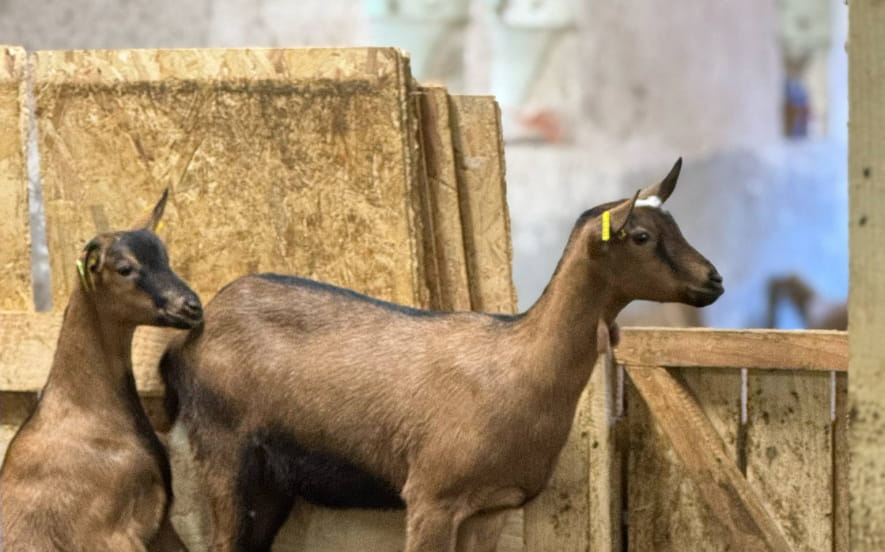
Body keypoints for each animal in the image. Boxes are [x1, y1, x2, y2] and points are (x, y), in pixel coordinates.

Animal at [0, 191, 202, 551]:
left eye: (165, 258)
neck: (88, 411)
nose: (191, 306)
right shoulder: (111, 534)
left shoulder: (160, 526)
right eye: (124, 268)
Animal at [161, 159, 724, 552]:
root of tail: (197, 331)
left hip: (273, 481)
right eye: (642, 236)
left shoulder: (490, 506)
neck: (518, 364)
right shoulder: (431, 498)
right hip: (224, 451)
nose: (714, 280)